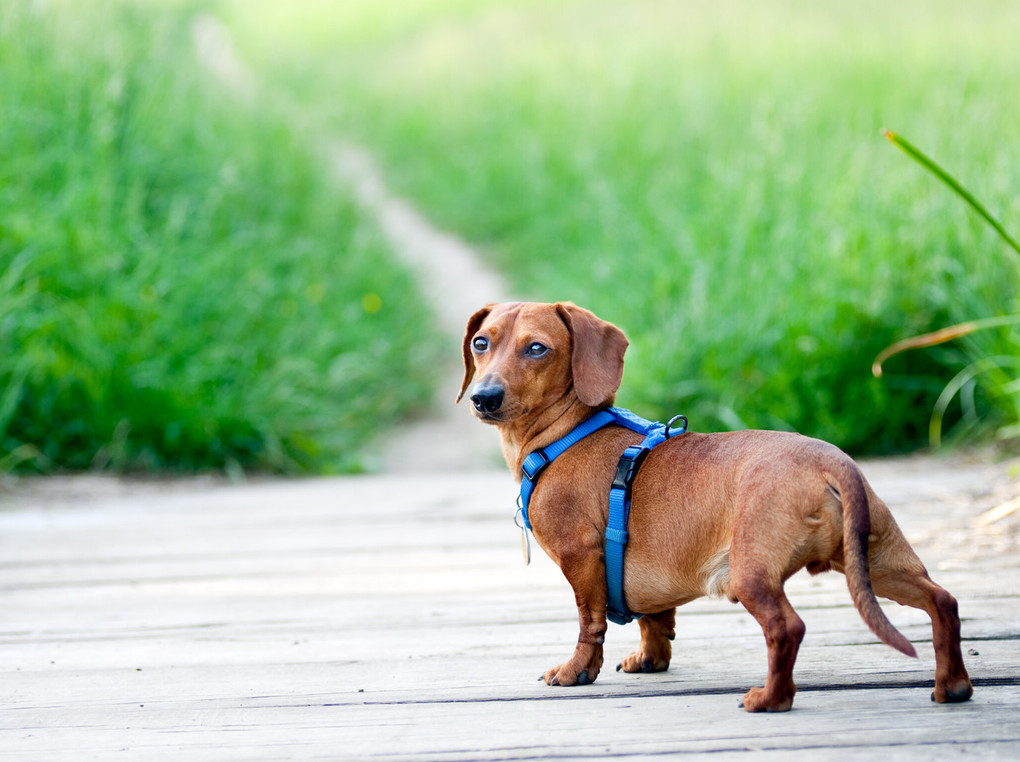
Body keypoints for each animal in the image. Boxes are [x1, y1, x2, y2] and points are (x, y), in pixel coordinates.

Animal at [461, 301, 971, 714]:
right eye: (481, 343)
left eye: (537, 349)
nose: (483, 398)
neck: (567, 432)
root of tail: (829, 462)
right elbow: (654, 620)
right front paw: (651, 660)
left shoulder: (581, 559)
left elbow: (591, 624)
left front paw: (575, 671)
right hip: (878, 562)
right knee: (942, 601)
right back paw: (953, 686)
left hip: (753, 574)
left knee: (787, 628)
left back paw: (770, 699)